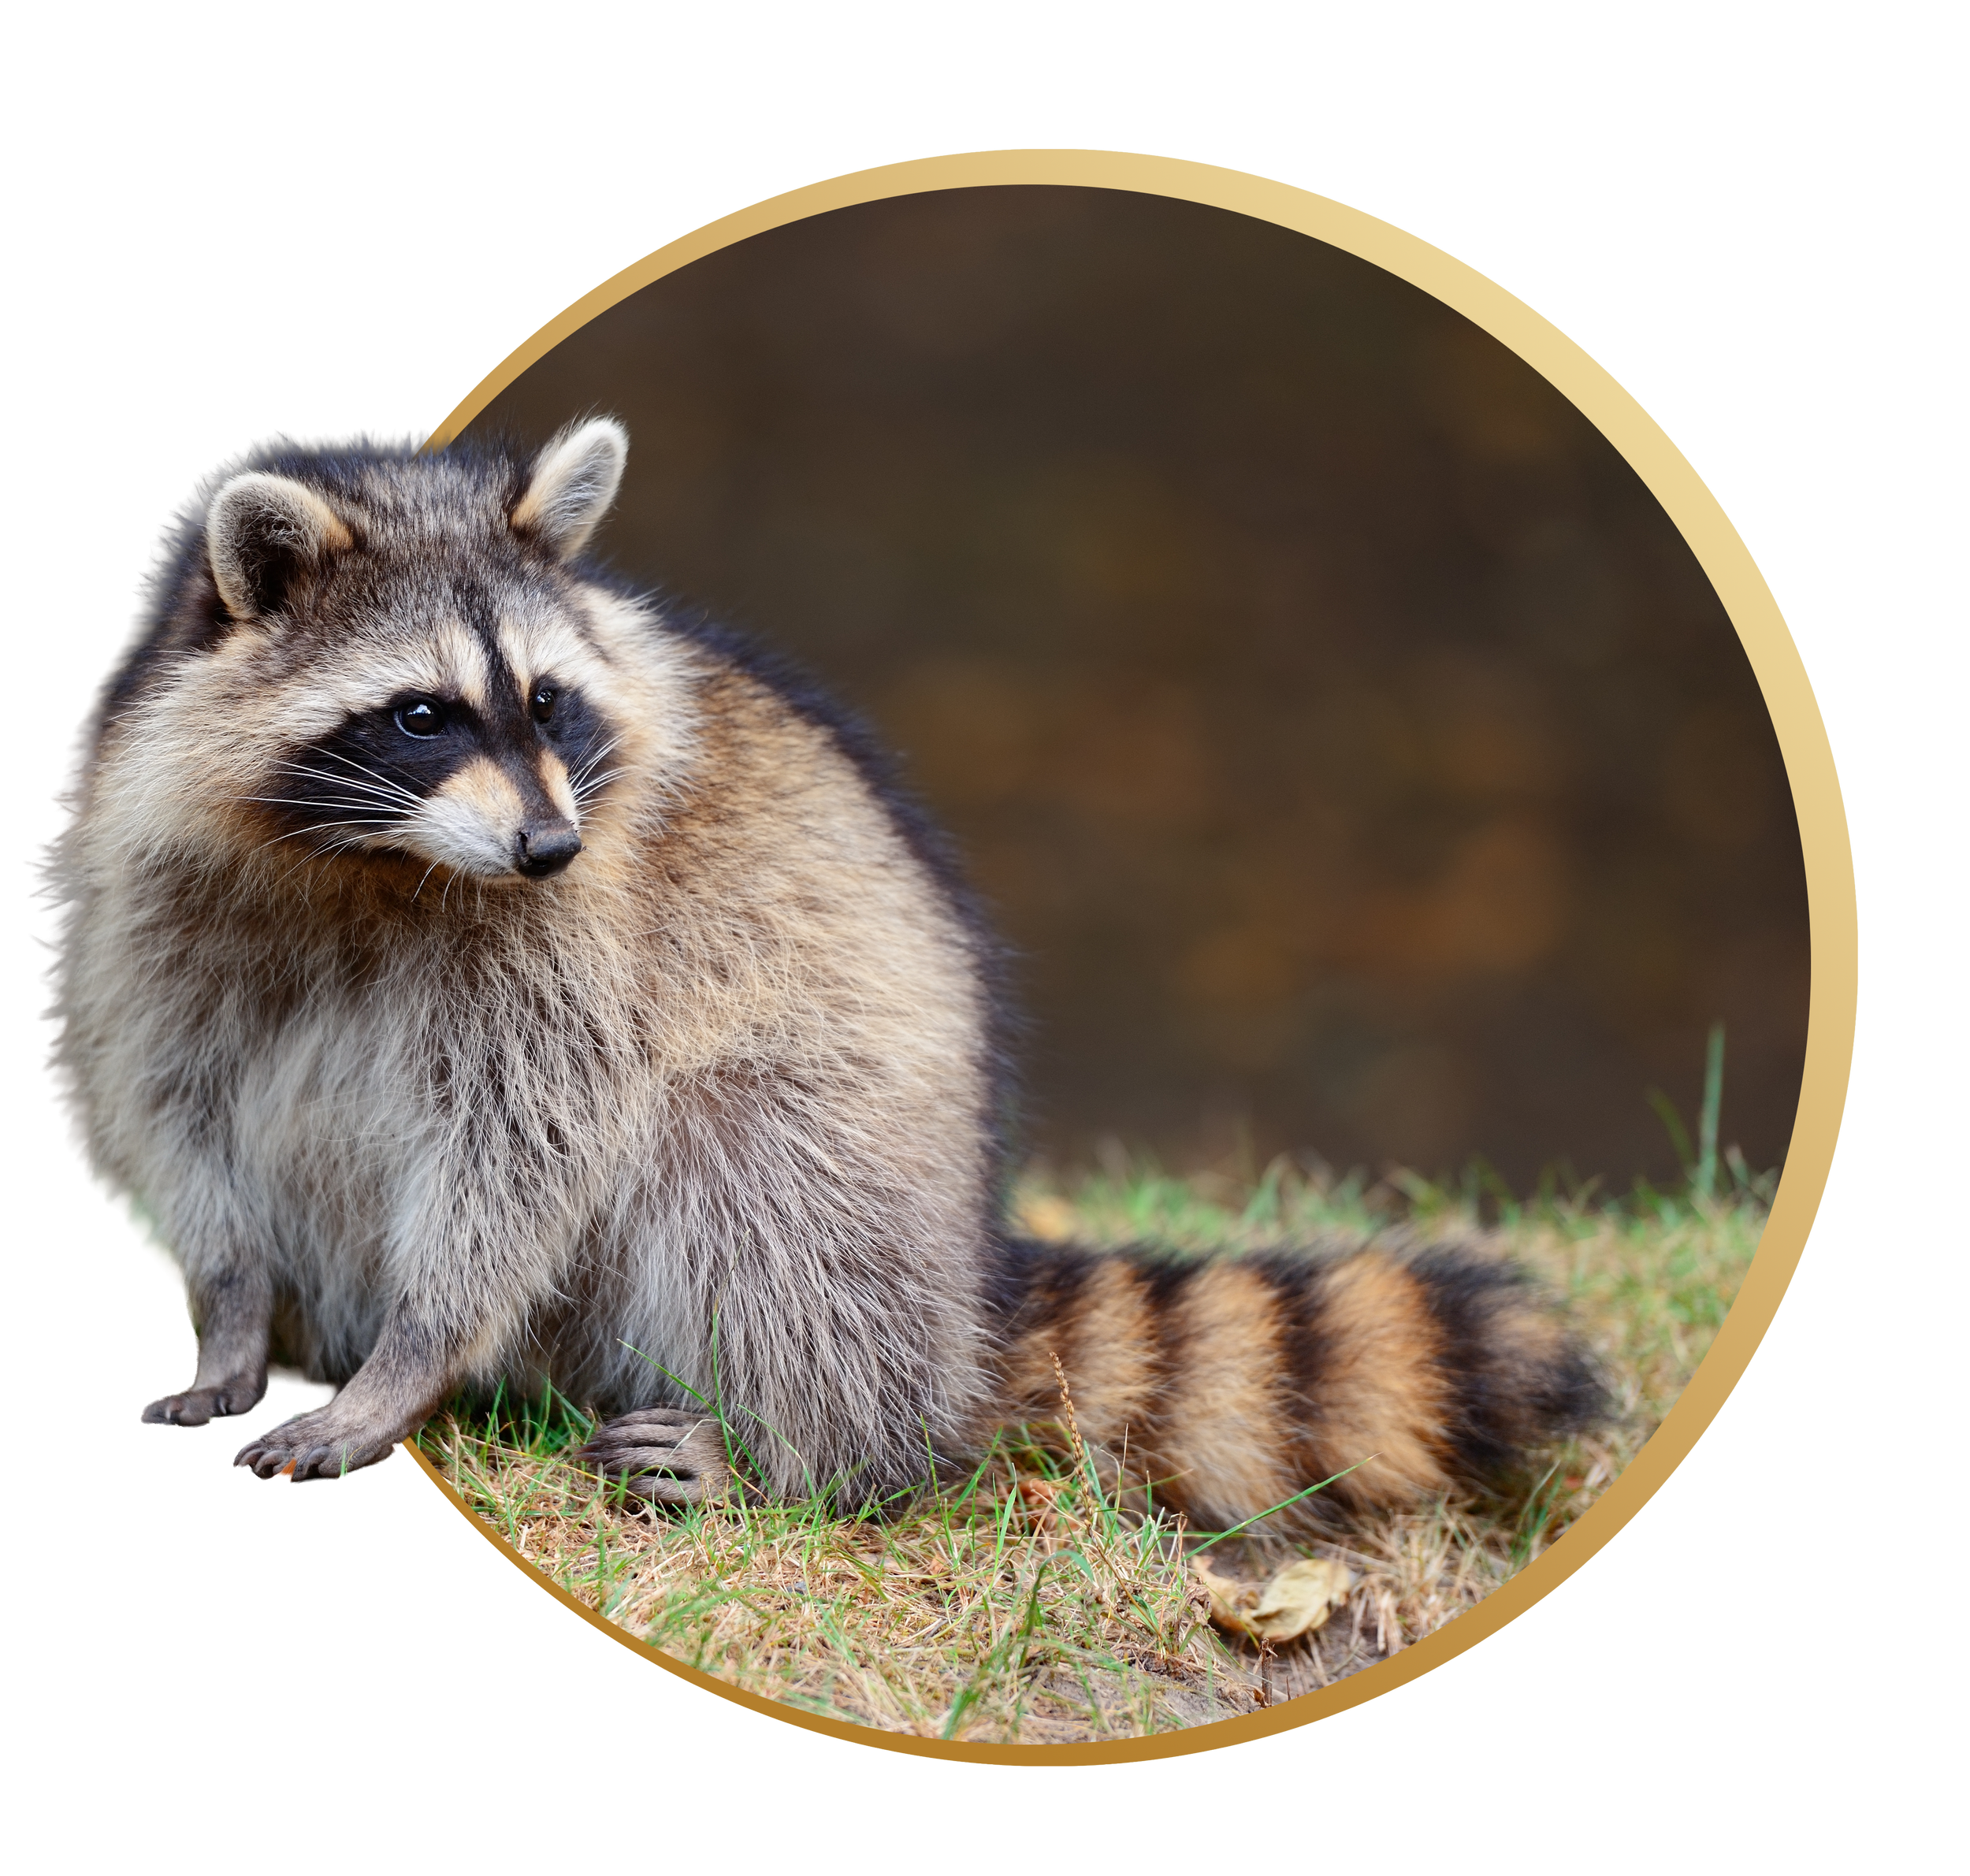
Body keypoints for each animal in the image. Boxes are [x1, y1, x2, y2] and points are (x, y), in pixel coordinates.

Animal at [38, 421, 1601, 1528]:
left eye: (545, 699)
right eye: (422, 714)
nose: (548, 841)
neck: (374, 858)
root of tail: (970, 1283)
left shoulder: (580, 940)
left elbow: (525, 1143)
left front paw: (411, 1361)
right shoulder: (152, 894)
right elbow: (178, 1104)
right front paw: (231, 1312)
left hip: (855, 1162)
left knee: (753, 1176)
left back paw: (807, 1453)